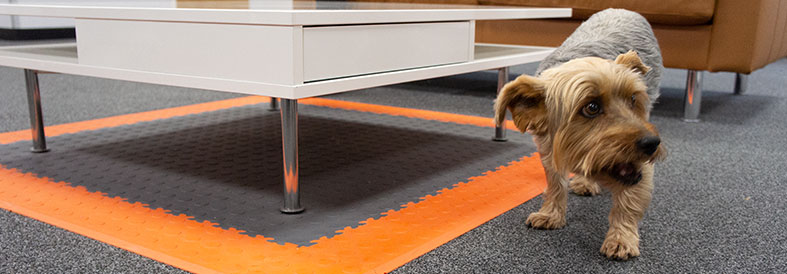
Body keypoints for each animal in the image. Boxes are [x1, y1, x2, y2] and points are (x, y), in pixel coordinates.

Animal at [496, 8, 668, 260]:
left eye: (633, 99)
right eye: (592, 107)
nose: (652, 143)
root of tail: (623, 9)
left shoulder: (641, 163)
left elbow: (629, 201)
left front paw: (621, 238)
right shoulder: (547, 147)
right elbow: (555, 183)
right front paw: (551, 214)